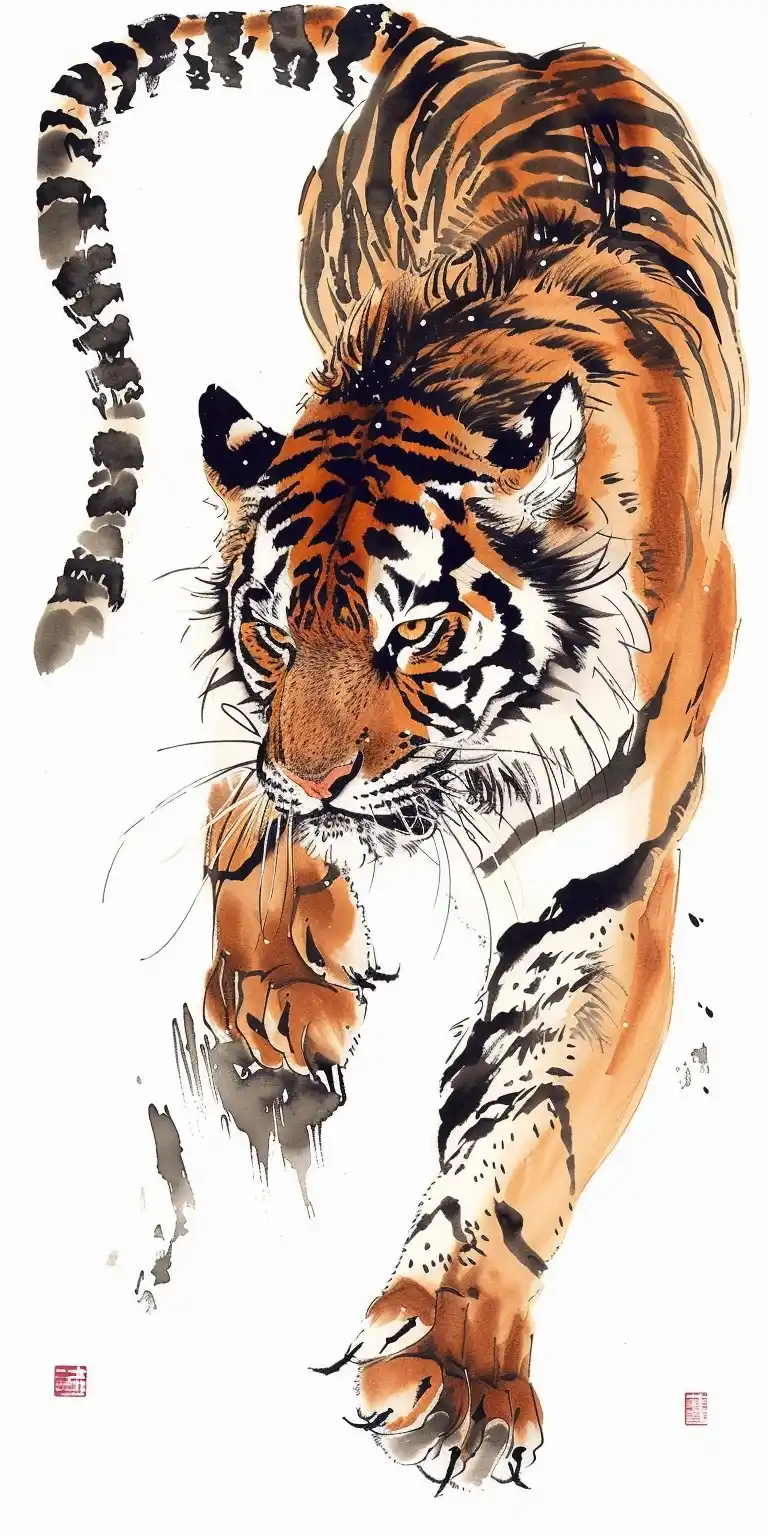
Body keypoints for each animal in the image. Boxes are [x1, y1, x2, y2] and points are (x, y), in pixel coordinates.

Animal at [35, 4, 743, 1492]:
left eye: (413, 633)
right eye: (271, 630)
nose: (316, 773)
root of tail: (488, 46)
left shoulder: (608, 888)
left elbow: (530, 1133)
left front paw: (457, 1361)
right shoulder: (259, 732)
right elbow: (235, 816)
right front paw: (275, 987)